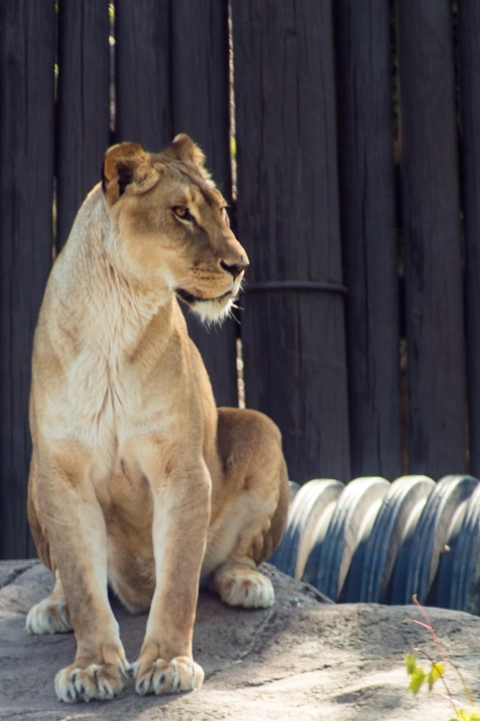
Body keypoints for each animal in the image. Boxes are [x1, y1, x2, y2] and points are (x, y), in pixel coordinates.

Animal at [25, 134, 289, 703]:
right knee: (65, 577)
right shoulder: (62, 471)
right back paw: (52, 608)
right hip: (36, 471)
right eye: (180, 214)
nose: (241, 265)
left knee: (234, 558)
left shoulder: (182, 471)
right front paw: (92, 668)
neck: (115, 316)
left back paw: (246, 584)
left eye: (221, 211)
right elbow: (83, 582)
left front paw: (168, 663)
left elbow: (178, 585)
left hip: (260, 426)